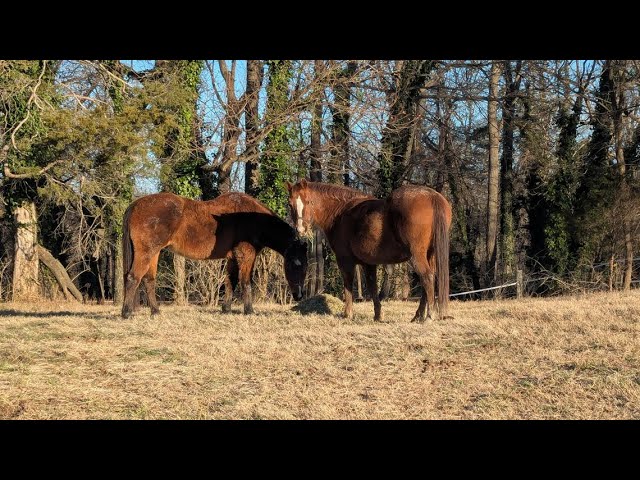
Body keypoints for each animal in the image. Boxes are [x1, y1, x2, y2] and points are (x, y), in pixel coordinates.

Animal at [123, 191, 310, 318]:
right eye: (295, 264)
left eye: (305, 266)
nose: (299, 295)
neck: (253, 219)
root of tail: (136, 204)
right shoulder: (246, 256)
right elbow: (245, 282)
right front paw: (249, 310)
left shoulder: (232, 258)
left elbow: (230, 282)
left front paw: (226, 309)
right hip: (146, 252)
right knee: (133, 277)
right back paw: (127, 313)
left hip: (154, 253)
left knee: (148, 280)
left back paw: (155, 311)